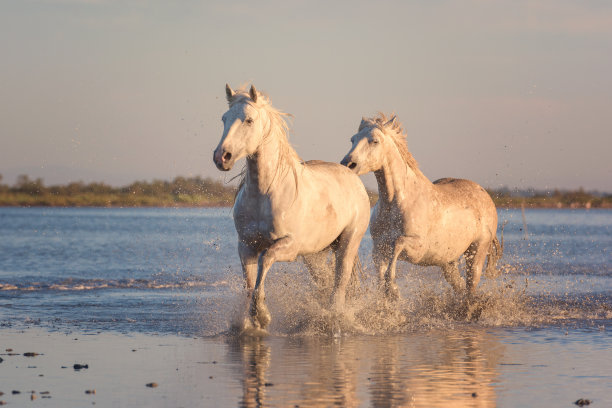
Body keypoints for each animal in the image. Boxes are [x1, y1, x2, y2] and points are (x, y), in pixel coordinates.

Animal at [213, 84, 370, 330]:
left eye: (249, 120)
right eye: (224, 118)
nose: (222, 157)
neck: (265, 193)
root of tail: (353, 177)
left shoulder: (289, 245)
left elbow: (265, 260)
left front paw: (262, 315)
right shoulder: (246, 246)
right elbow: (249, 282)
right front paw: (251, 321)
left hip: (348, 243)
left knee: (340, 283)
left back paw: (334, 317)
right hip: (316, 255)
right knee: (325, 282)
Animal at [340, 113, 502, 298]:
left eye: (374, 141)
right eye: (352, 139)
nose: (348, 164)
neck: (395, 203)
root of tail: (485, 195)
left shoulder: (417, 248)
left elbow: (397, 248)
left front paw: (394, 290)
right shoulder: (379, 249)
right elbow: (381, 280)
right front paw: (389, 295)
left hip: (476, 252)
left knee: (470, 286)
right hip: (448, 261)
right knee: (460, 286)